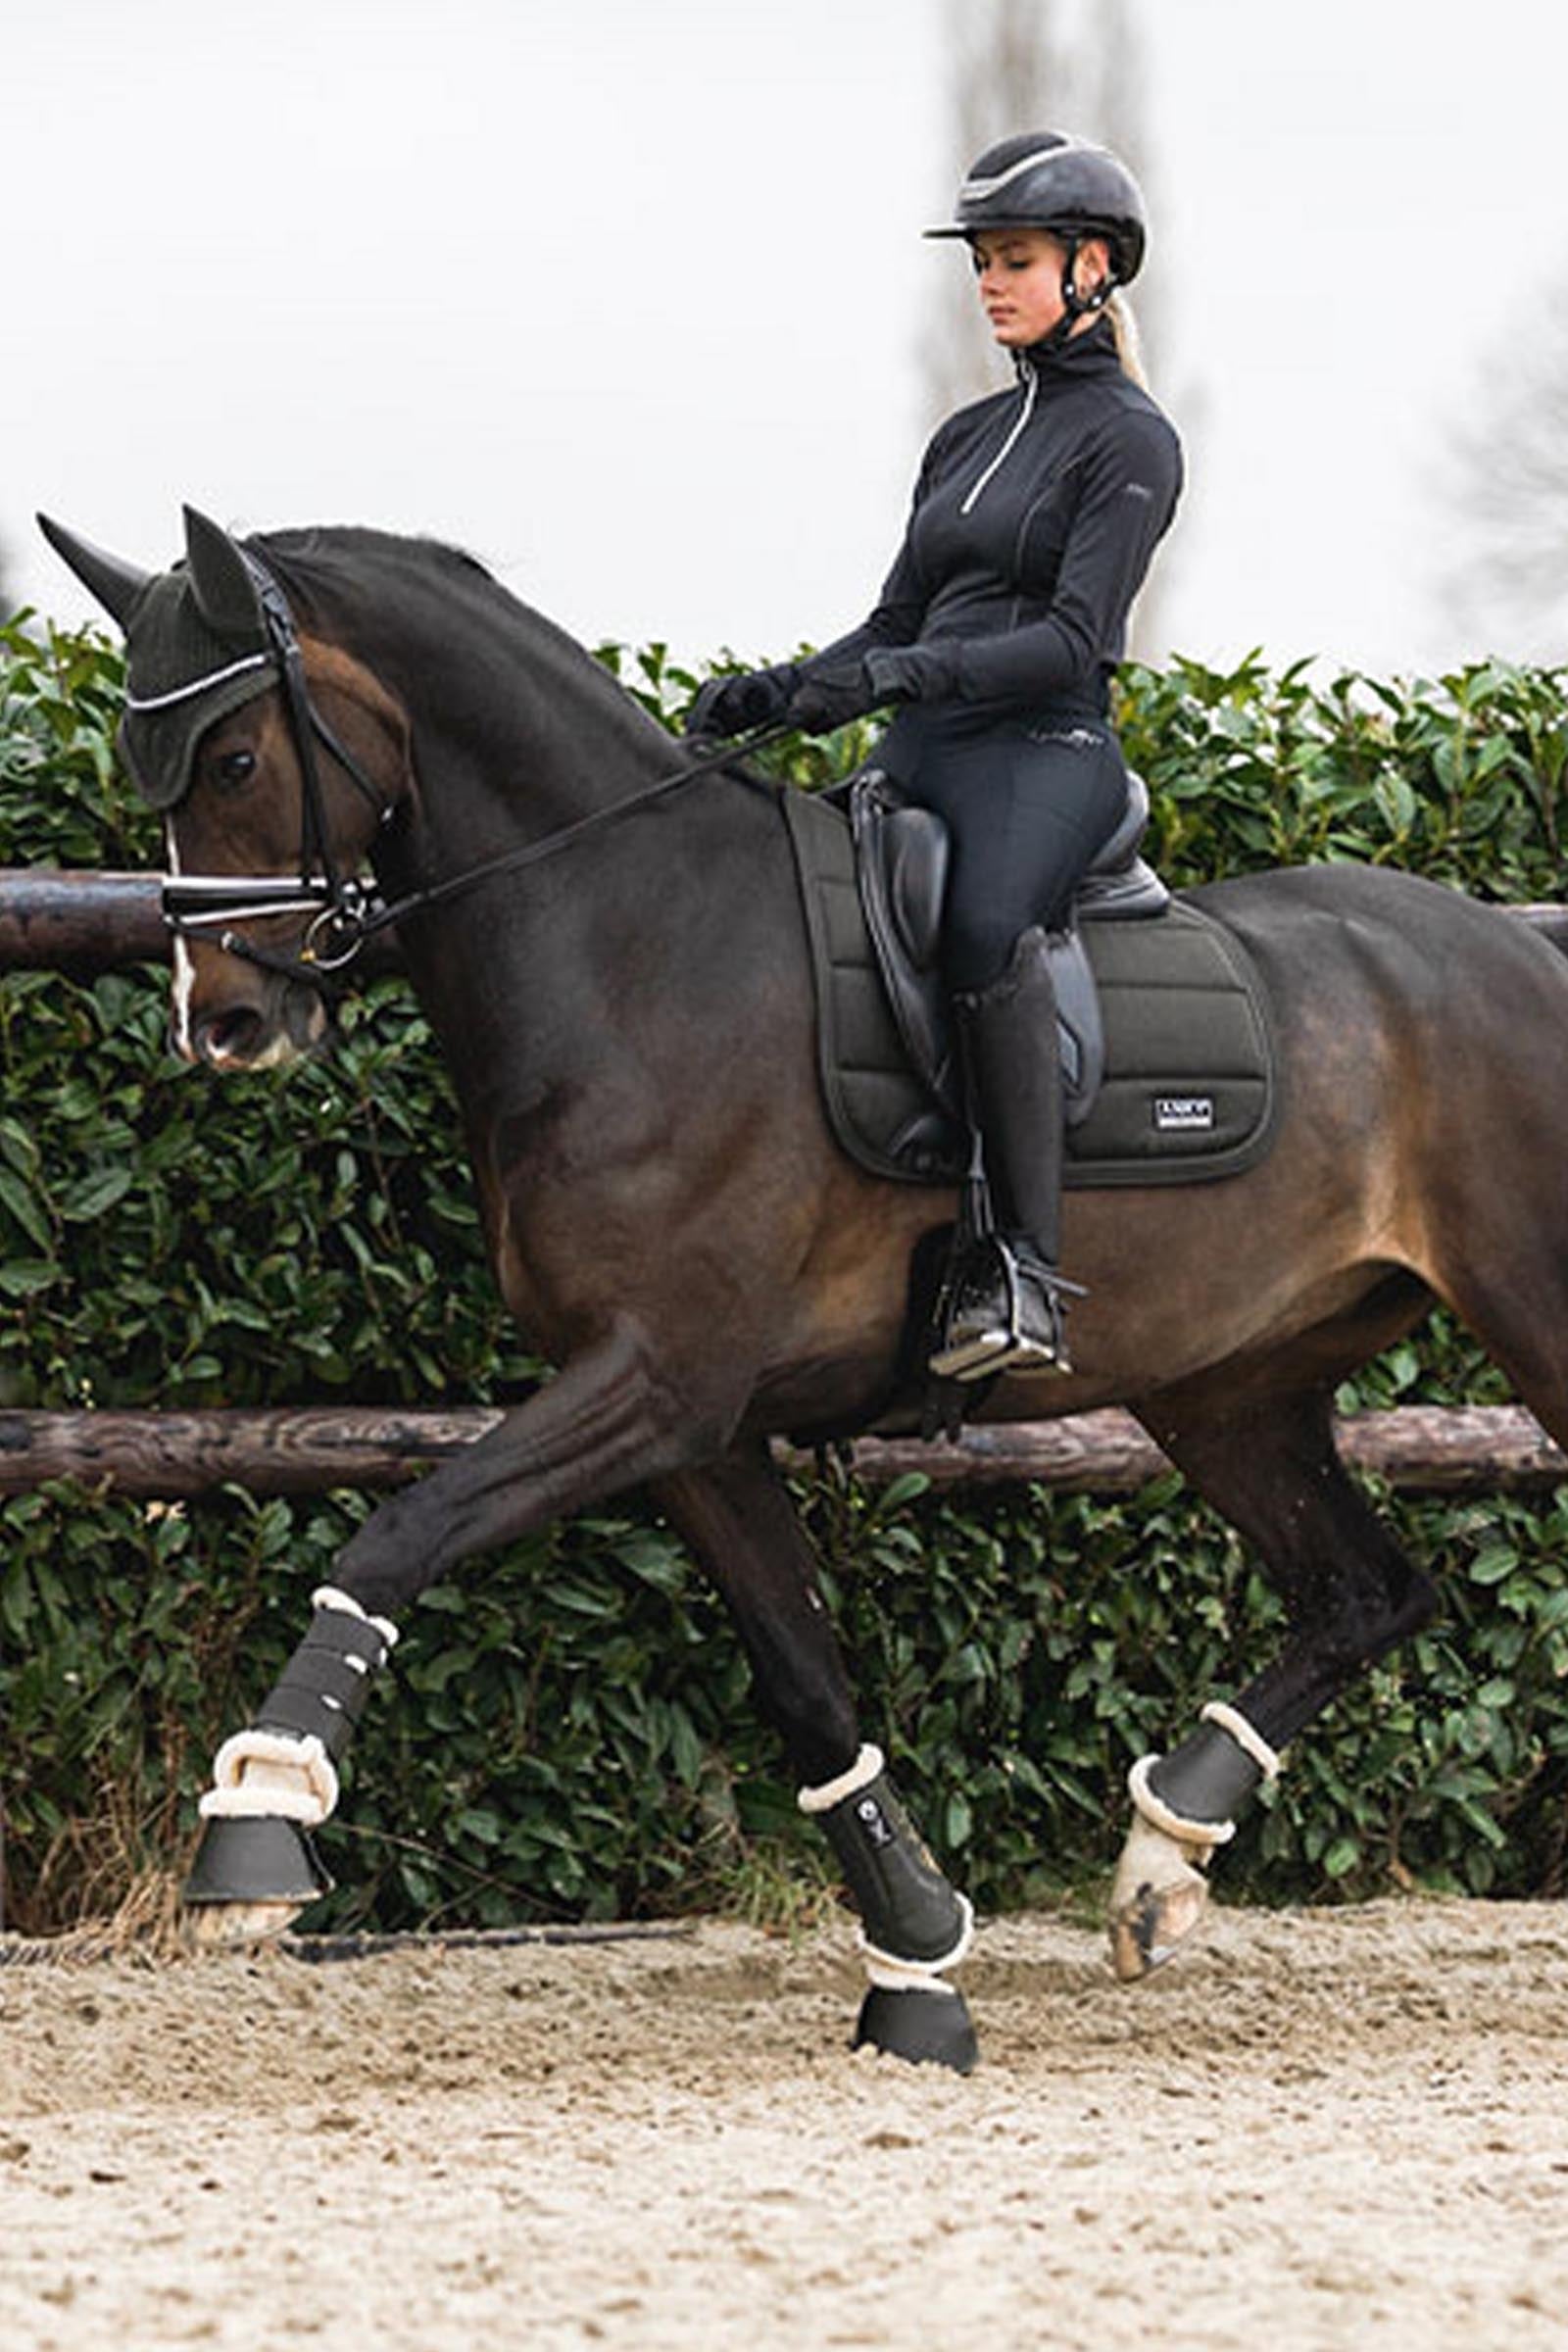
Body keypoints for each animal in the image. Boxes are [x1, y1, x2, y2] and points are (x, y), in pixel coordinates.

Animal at [38, 505, 1568, 2070]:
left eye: (233, 759)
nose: (224, 1021)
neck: (636, 943)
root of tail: (1520, 944)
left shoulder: (656, 1380)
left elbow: (401, 1530)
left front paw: (259, 1820)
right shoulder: (694, 1428)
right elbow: (806, 1685)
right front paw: (919, 1966)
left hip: (1527, 1317)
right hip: (1231, 1387)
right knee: (1367, 1594)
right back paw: (1157, 1867)